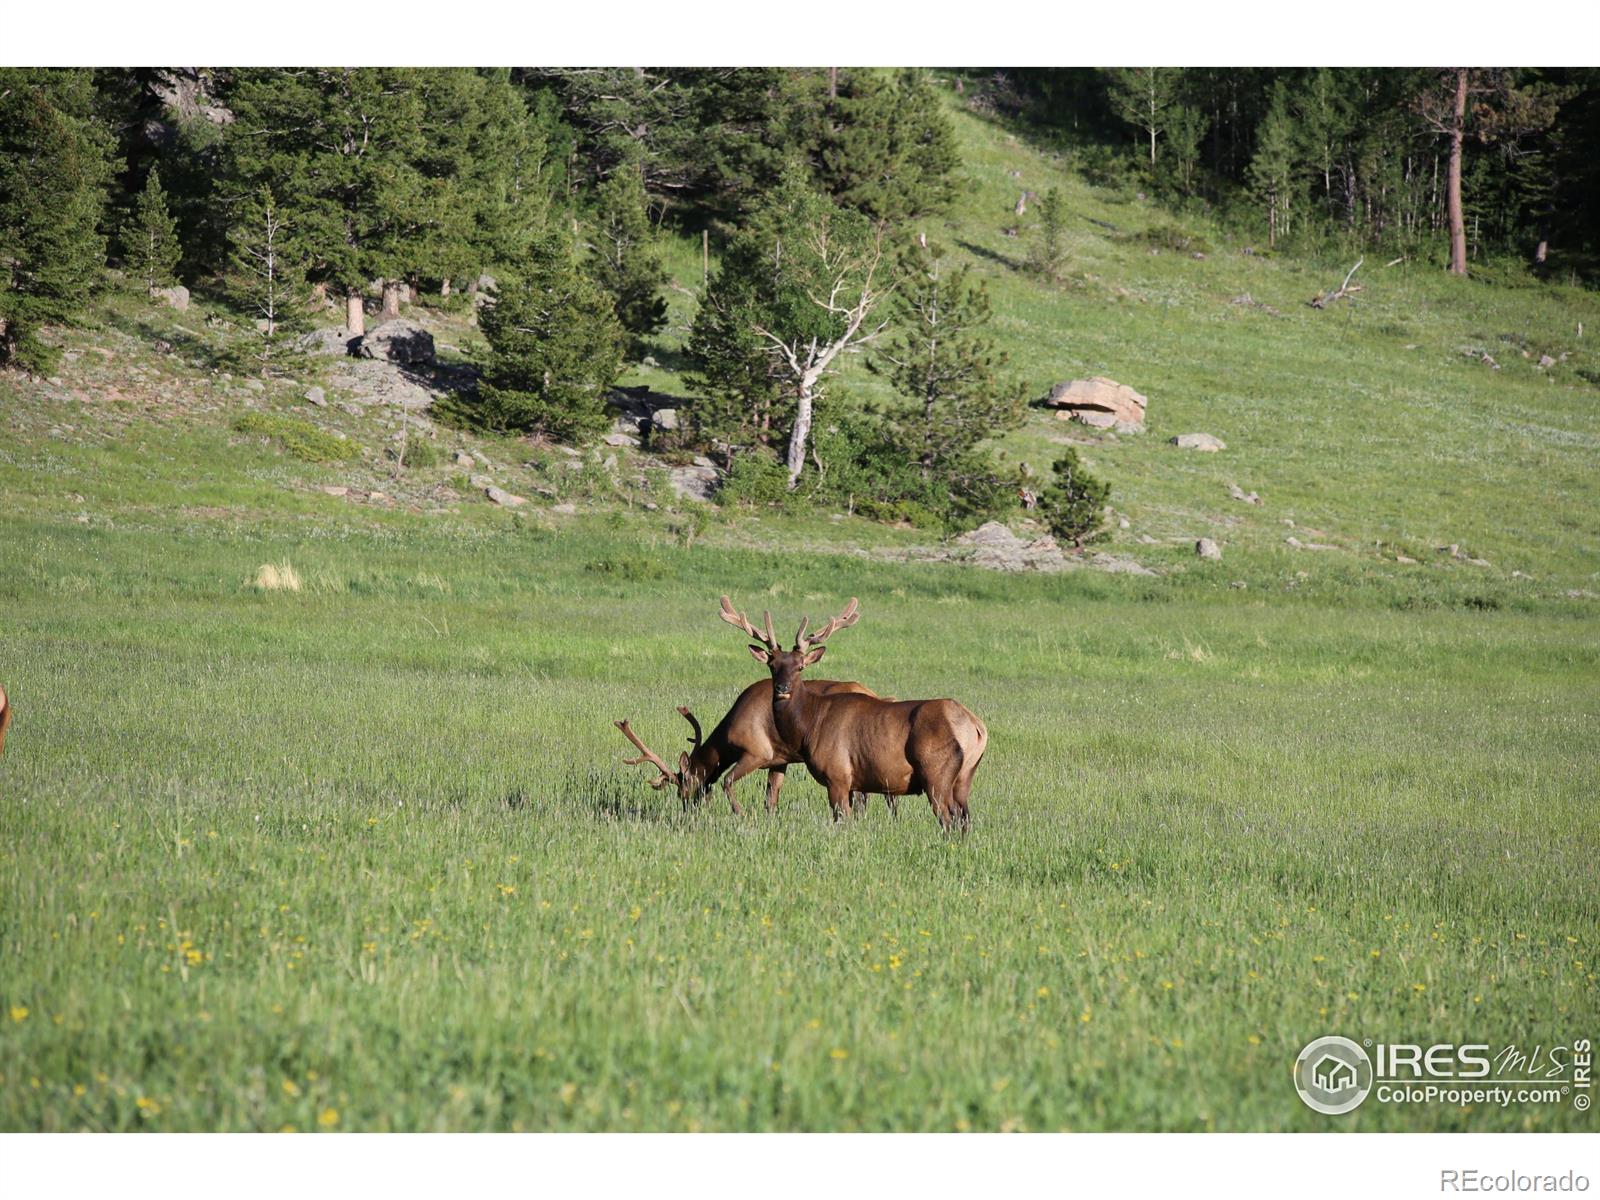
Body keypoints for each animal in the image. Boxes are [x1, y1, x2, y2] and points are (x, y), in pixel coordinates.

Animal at [611, 678, 889, 819]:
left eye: (684, 783)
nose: (688, 808)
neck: (726, 742)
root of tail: (877, 694)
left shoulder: (758, 752)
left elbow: (727, 781)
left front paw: (741, 814)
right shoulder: (780, 760)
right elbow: (770, 798)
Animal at [716, 598, 985, 832]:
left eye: (800, 667)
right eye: (772, 665)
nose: (782, 689)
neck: (810, 727)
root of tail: (976, 727)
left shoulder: (838, 776)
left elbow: (842, 820)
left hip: (936, 774)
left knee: (948, 820)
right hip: (965, 777)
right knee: (965, 819)